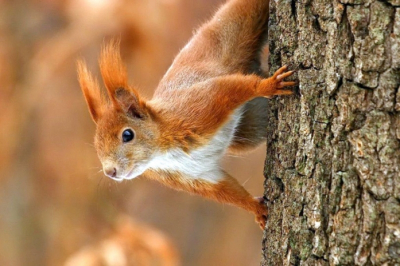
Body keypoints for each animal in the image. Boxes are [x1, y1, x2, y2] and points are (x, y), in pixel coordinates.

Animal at [79, 0, 296, 229]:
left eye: (127, 135)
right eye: (96, 145)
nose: (110, 172)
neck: (162, 153)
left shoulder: (200, 107)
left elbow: (231, 88)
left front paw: (269, 85)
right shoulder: (194, 175)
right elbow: (225, 190)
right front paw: (257, 209)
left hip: (238, 22)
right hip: (251, 126)